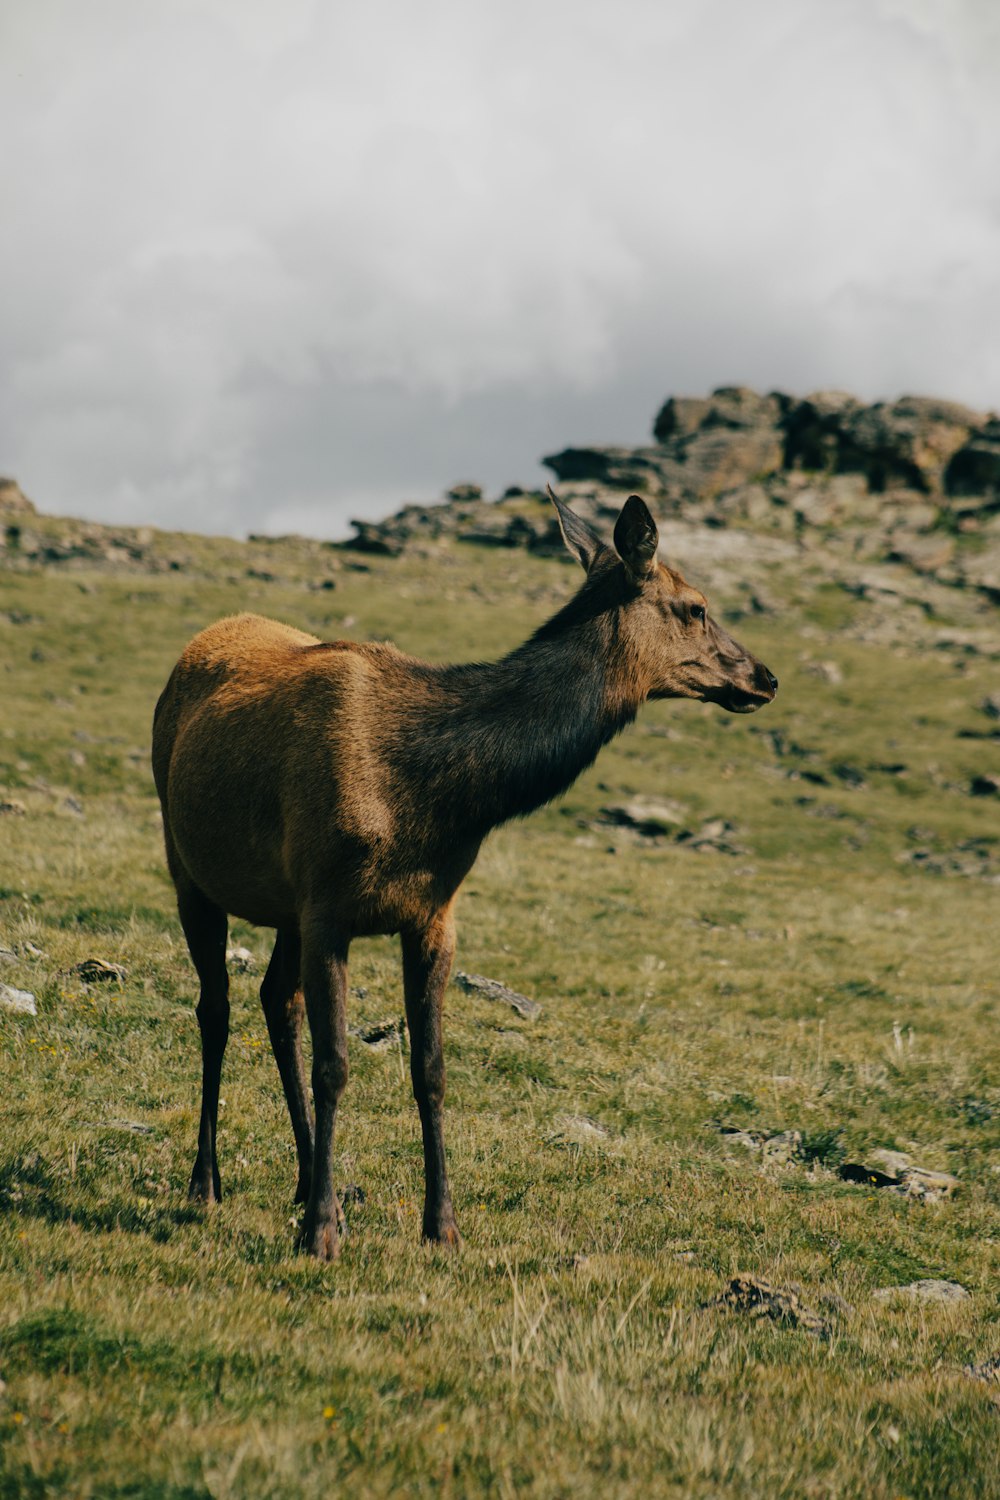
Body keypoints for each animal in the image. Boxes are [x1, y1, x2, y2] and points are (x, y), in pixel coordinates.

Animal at [152, 492, 779, 1254]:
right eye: (695, 606)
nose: (764, 677)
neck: (433, 796)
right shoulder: (328, 905)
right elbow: (337, 1065)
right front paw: (322, 1235)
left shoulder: (431, 916)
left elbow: (431, 1071)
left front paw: (440, 1225)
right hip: (187, 863)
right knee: (214, 1010)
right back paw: (206, 1183)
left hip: (282, 905)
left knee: (277, 1002)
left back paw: (303, 1181)